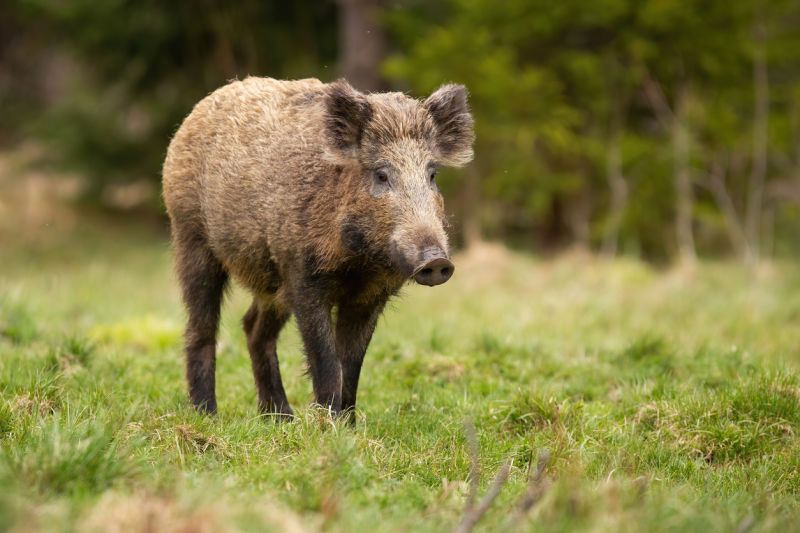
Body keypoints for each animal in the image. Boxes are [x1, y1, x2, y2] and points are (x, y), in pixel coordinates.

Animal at [162, 77, 474, 418]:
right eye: (381, 174)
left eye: (432, 174)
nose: (436, 261)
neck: (359, 263)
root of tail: (197, 112)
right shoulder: (303, 278)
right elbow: (326, 361)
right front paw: (328, 424)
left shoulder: (370, 295)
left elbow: (351, 364)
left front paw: (348, 425)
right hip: (191, 236)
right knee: (201, 327)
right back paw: (208, 415)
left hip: (272, 282)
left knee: (253, 327)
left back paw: (280, 418)